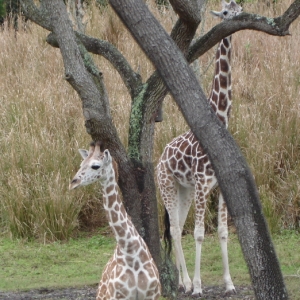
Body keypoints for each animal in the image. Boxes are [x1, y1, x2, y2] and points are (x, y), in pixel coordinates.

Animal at [69, 142, 162, 300]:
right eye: (82, 164)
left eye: (95, 166)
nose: (73, 183)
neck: (130, 252)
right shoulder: (118, 296)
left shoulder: (152, 294)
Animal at [156, 0, 243, 296]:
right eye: (225, 12)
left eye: (239, 9)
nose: (235, 21)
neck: (220, 120)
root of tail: (159, 159)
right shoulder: (204, 185)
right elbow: (199, 234)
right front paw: (197, 286)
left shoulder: (220, 186)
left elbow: (223, 232)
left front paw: (229, 283)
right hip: (168, 187)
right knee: (174, 230)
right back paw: (183, 283)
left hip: (185, 190)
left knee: (178, 226)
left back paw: (182, 281)